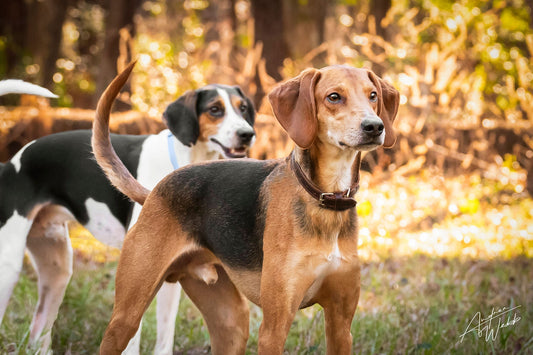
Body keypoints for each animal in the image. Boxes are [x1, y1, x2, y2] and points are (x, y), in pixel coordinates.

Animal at [0, 82, 256, 354]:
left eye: (242, 108)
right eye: (215, 109)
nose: (247, 134)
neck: (185, 159)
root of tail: (9, 164)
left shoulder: (173, 273)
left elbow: (166, 333)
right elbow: (133, 338)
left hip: (58, 269)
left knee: (38, 329)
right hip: (10, 266)